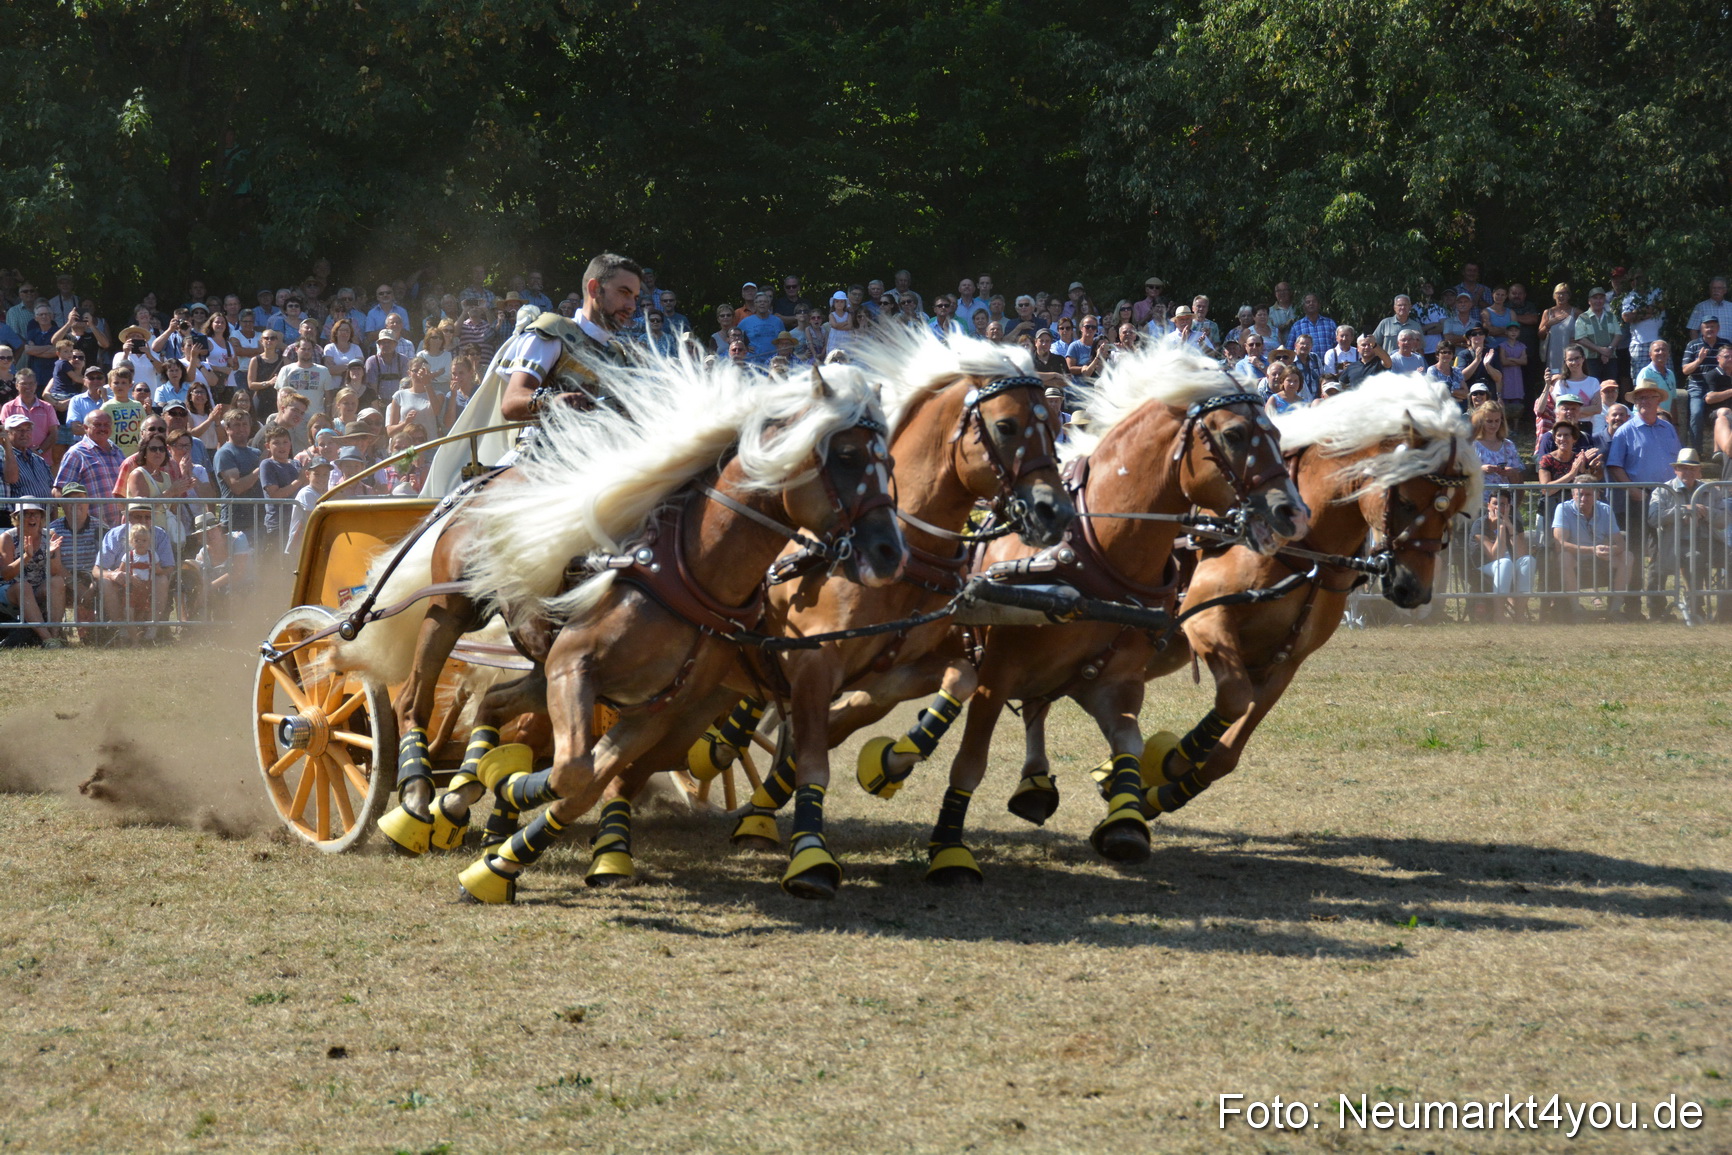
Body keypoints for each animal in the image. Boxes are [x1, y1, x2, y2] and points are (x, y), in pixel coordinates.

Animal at [434, 359, 906, 903]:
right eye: (846, 455)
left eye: (890, 460)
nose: (891, 551)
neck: (686, 576)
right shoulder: (574, 666)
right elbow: (573, 772)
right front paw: (508, 798)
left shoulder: (653, 709)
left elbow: (586, 783)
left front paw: (498, 859)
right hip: (486, 627)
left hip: (550, 673)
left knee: (495, 702)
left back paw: (482, 799)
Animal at [577, 330, 1078, 899]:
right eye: (1007, 425)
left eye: (1055, 424)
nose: (1056, 512)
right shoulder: (813, 662)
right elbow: (814, 756)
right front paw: (809, 855)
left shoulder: (892, 666)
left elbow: (956, 680)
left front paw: (887, 763)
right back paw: (615, 844)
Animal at [912, 345, 1312, 883]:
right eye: (1234, 434)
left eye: (1276, 435)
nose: (1293, 513)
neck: (1096, 554)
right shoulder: (997, 673)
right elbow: (970, 760)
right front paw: (950, 847)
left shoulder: (1117, 680)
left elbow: (1129, 741)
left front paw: (1125, 822)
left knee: (1031, 705)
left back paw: (1032, 782)